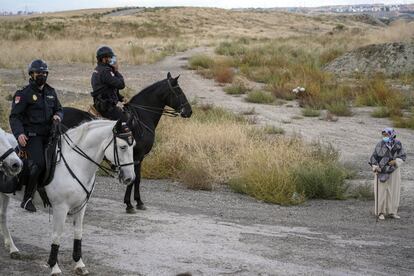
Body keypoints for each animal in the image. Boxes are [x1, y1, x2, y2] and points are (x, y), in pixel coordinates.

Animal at [0, 119, 136, 274]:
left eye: (133, 146)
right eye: (123, 147)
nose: (130, 178)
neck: (76, 162)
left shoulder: (81, 206)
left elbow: (78, 233)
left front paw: (79, 264)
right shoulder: (61, 208)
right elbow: (57, 235)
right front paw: (54, 267)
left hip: (5, 195)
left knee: (3, 217)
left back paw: (12, 248)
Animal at [61, 72, 192, 212]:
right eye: (178, 90)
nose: (189, 111)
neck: (141, 118)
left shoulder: (138, 158)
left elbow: (137, 178)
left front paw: (137, 202)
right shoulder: (137, 156)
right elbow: (134, 179)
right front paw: (131, 204)